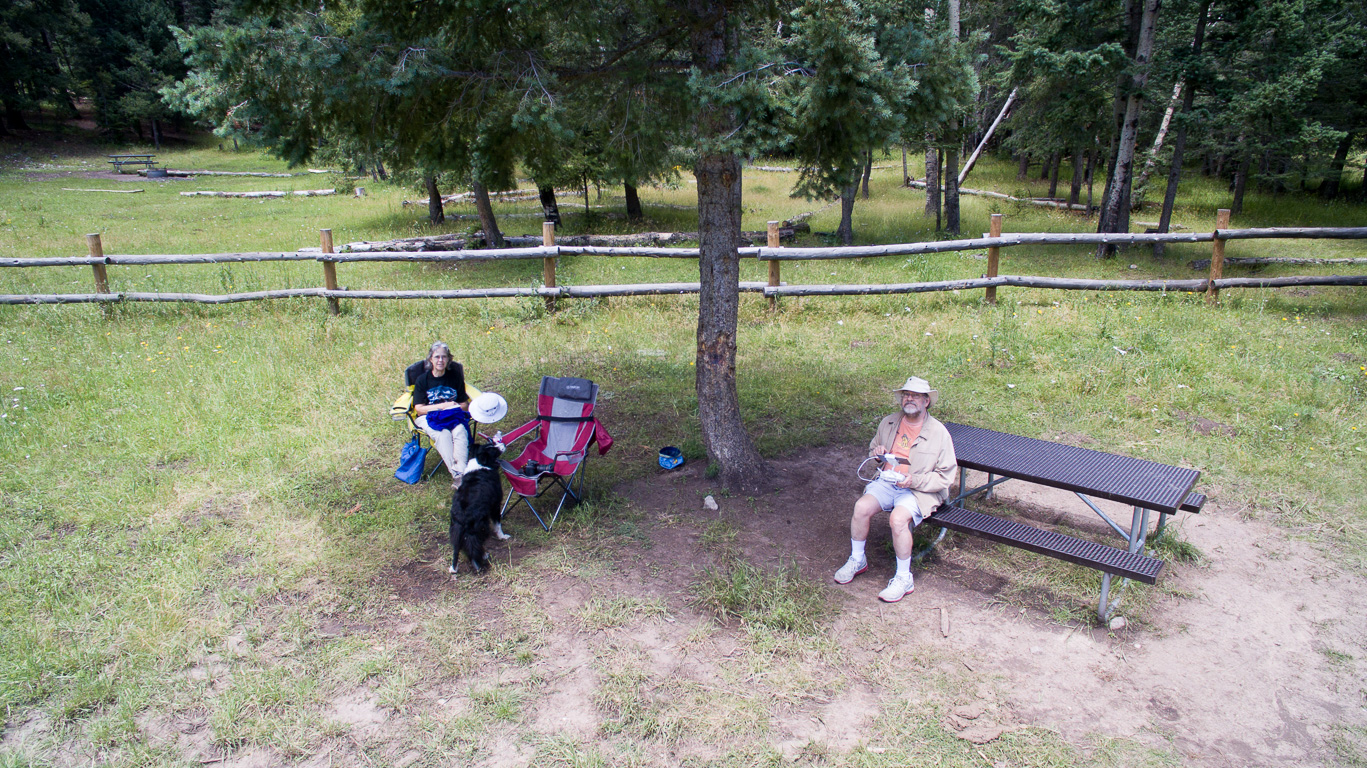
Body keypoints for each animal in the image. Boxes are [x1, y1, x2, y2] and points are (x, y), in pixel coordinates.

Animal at [451, 440, 511, 571]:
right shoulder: (495, 505)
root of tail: (463, 517)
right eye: (494, 450)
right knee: (475, 545)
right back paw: (481, 560)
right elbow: (498, 524)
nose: (503, 443)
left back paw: (453, 568)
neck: (480, 463)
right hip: (481, 526)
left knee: (457, 549)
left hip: (455, 530)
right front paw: (502, 537)